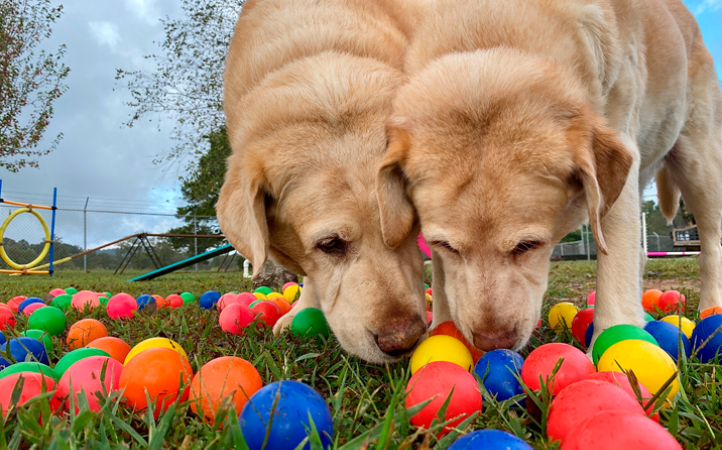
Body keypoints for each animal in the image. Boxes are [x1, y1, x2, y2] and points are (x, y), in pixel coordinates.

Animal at [376, 0, 720, 352]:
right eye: (443, 244)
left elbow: (614, 267)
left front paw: (612, 341)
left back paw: (711, 307)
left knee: (711, 243)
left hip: (698, 161)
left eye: (528, 245)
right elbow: (444, 277)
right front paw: (442, 331)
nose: (493, 343)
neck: (490, 27)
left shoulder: (619, 151)